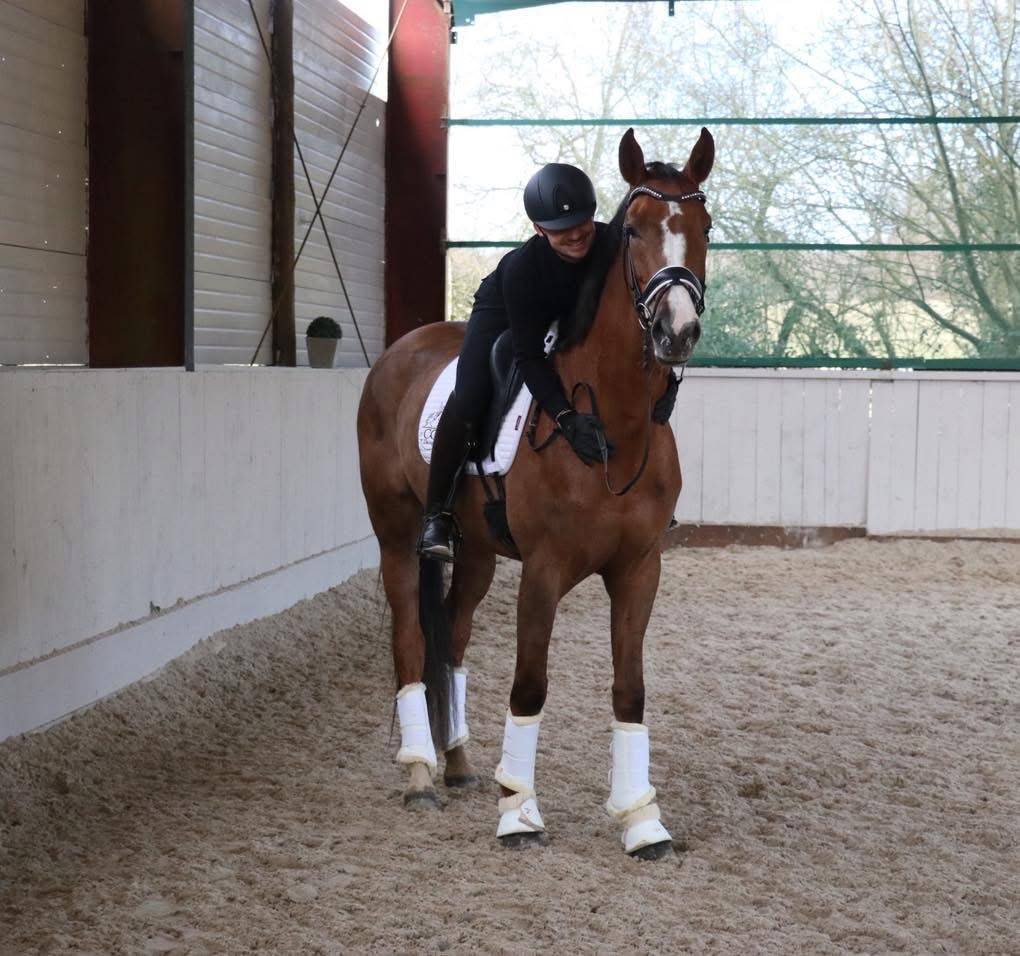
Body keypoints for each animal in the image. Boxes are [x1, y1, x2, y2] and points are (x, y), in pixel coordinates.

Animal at [357, 127, 714, 859]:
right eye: (633, 229)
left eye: (706, 227)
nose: (678, 330)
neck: (611, 424)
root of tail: (401, 348)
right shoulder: (544, 571)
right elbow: (530, 685)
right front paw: (519, 810)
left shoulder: (639, 569)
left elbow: (630, 689)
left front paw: (642, 819)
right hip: (398, 535)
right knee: (411, 639)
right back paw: (419, 772)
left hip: (477, 553)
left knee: (452, 638)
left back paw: (458, 761)